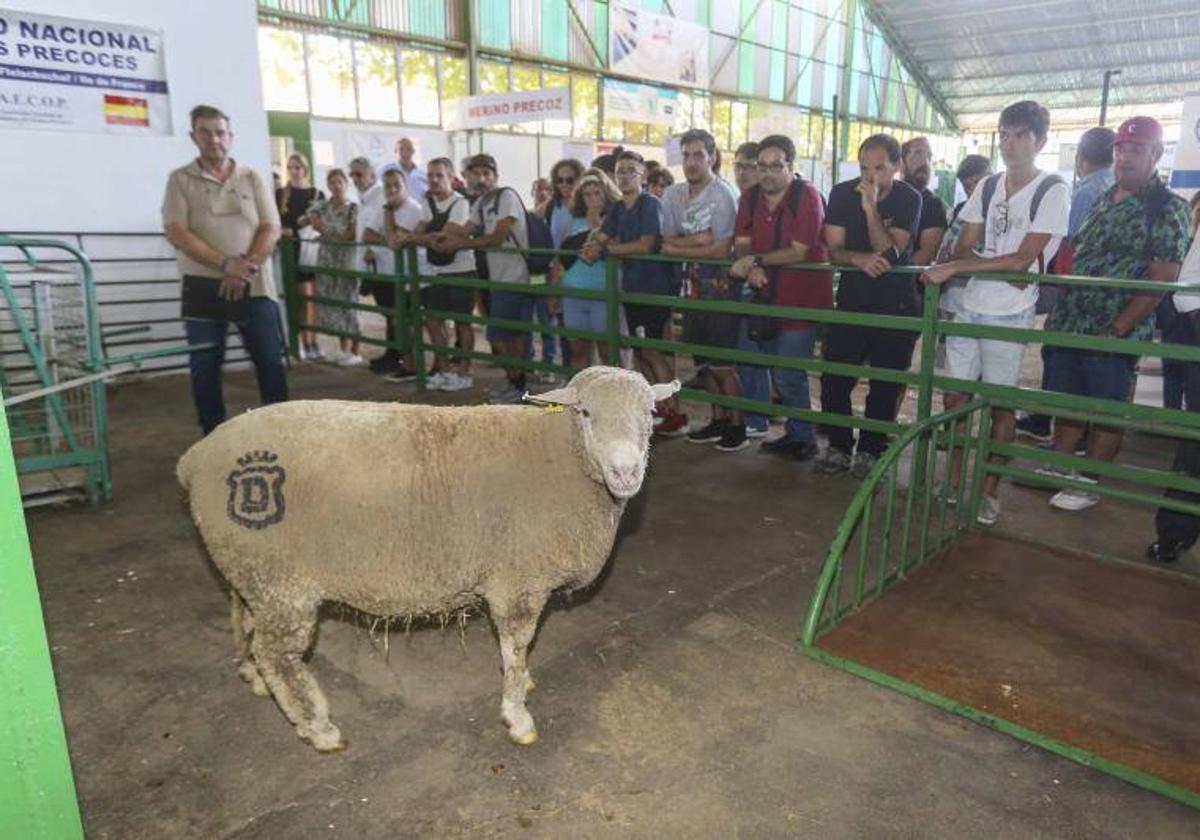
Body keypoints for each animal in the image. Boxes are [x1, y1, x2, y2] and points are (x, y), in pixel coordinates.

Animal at [175, 364, 681, 748]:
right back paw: (318, 728)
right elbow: (515, 648)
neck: (560, 452)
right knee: (277, 653)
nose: (626, 472)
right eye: (587, 412)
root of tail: (195, 459)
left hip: (251, 570)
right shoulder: (516, 584)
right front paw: (517, 715)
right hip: (282, 583)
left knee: (242, 616)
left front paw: (523, 686)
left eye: (651, 412)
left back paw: (253, 676)